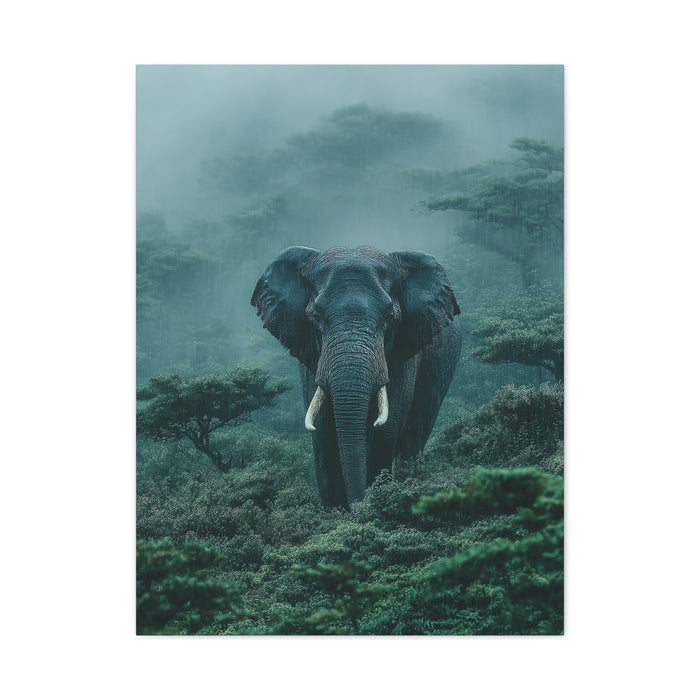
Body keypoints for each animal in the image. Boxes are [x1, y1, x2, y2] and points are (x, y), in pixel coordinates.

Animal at [251, 245, 462, 507]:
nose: (358, 505)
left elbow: (385, 430)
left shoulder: (402, 353)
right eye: (315, 317)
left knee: (415, 435)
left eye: (390, 317)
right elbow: (323, 433)